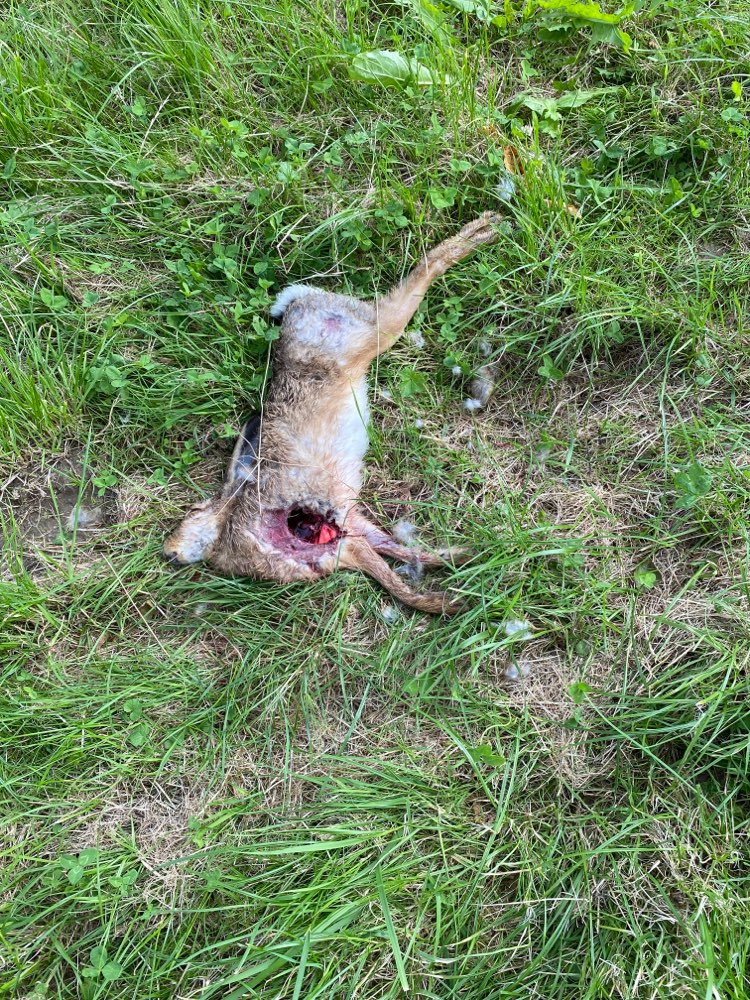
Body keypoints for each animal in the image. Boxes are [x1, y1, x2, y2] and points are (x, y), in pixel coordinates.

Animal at [163, 213, 500, 613]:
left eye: (193, 511)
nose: (168, 552)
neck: (229, 520)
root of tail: (297, 303)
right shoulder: (346, 536)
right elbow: (397, 553)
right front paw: (463, 559)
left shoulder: (336, 542)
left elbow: (393, 583)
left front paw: (444, 604)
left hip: (373, 331)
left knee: (418, 278)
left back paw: (481, 231)